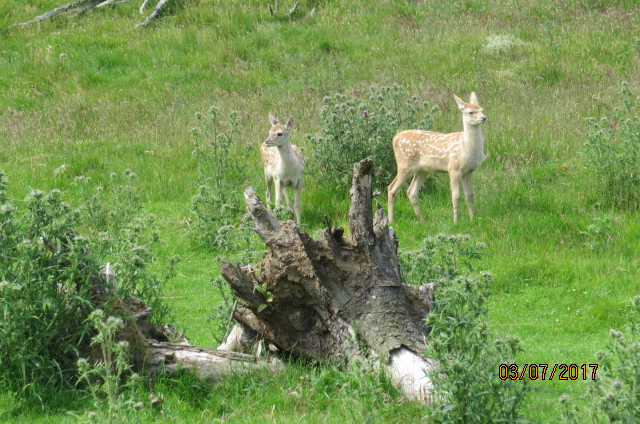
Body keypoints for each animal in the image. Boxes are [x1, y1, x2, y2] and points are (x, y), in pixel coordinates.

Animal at [387, 92, 487, 224]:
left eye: (482, 110)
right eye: (470, 112)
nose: (484, 118)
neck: (466, 147)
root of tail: (395, 138)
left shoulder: (469, 171)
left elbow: (470, 195)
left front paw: (472, 219)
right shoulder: (454, 168)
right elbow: (456, 196)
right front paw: (456, 222)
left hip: (422, 170)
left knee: (411, 191)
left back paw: (422, 220)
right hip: (405, 165)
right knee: (391, 188)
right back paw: (391, 220)